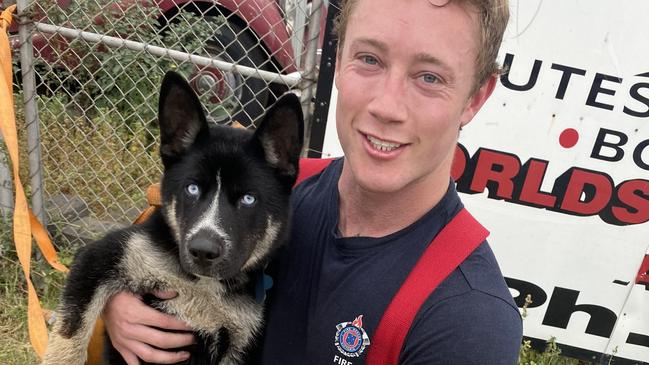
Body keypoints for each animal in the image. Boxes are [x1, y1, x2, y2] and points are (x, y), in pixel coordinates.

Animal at [41, 71, 306, 364]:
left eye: (248, 199)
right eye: (192, 188)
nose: (203, 251)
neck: (204, 285)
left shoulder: (243, 338)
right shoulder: (102, 255)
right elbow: (70, 332)